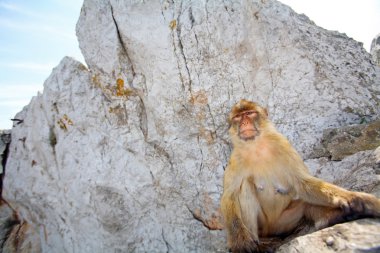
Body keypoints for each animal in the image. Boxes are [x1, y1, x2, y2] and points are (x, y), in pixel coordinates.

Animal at [221, 100, 380, 252]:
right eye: (237, 117)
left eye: (249, 113)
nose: (244, 123)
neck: (256, 146)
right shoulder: (235, 159)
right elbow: (230, 196)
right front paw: (240, 242)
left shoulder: (283, 145)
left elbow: (303, 183)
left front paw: (357, 198)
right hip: (264, 226)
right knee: (244, 188)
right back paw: (259, 245)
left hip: (284, 222)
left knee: (305, 199)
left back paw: (335, 216)